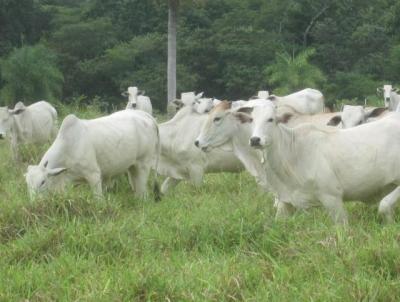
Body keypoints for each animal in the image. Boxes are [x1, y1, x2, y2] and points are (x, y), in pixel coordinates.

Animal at [24, 109, 159, 201]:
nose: (34, 203)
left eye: (42, 182)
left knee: (142, 189)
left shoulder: (94, 175)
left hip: (143, 164)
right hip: (132, 166)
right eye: (27, 184)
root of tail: (146, 115)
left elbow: (98, 199)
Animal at [241, 101, 400, 224]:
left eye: (271, 119)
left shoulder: (332, 198)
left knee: (384, 205)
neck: (293, 152)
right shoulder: (284, 202)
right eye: (251, 120)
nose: (255, 140)